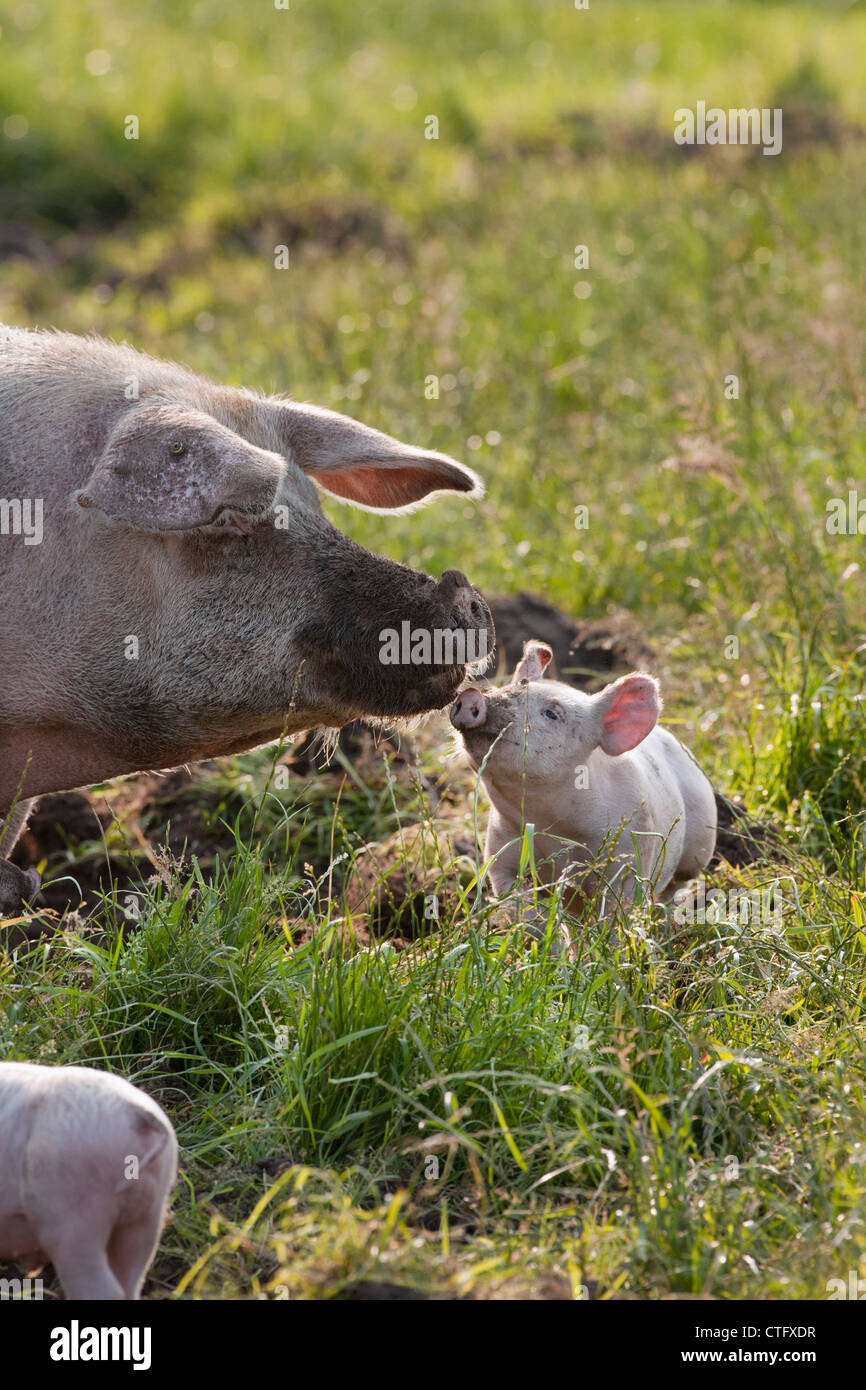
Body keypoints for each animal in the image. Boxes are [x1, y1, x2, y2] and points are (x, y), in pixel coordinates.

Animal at [450, 639, 717, 934]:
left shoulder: (629, 857)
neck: (550, 823)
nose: (472, 697)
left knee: (675, 887)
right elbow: (525, 910)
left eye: (552, 713)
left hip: (698, 847)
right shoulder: (501, 852)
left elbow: (615, 915)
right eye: (516, 685)